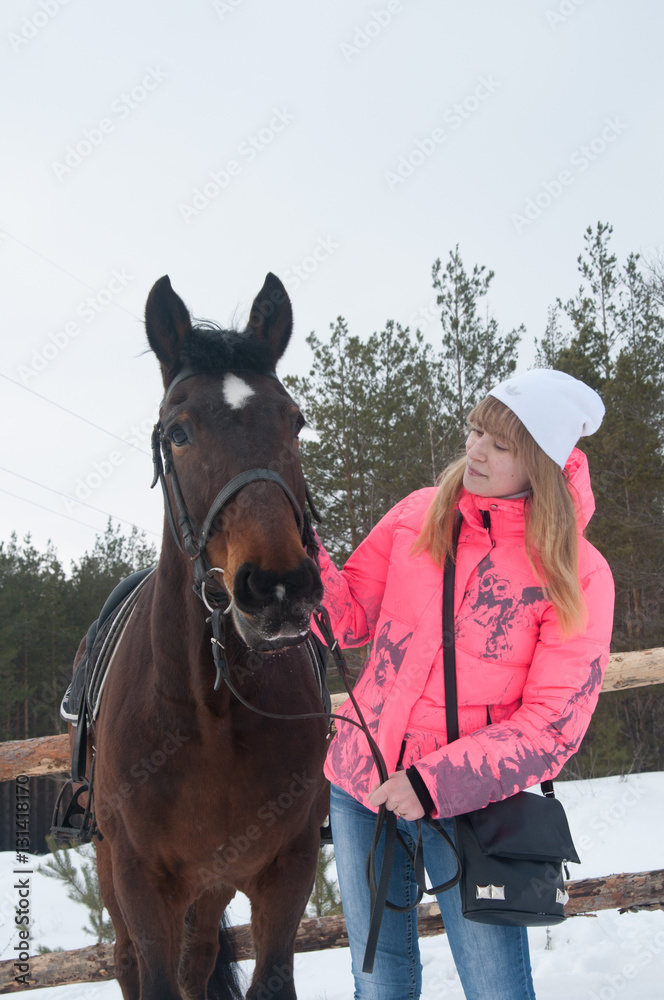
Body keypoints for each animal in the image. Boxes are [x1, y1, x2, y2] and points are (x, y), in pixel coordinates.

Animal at [73, 273, 330, 1000]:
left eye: (294, 421)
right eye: (178, 432)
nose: (277, 586)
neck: (210, 714)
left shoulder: (288, 869)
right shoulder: (142, 884)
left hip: (212, 887)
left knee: (199, 960)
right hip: (118, 878)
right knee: (130, 963)